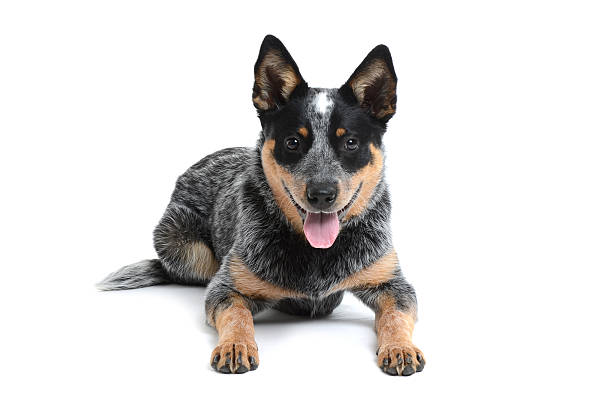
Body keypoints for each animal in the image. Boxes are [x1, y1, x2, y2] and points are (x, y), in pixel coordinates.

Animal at [99, 34, 426, 376]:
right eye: (293, 142)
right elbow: (236, 314)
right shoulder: (226, 288)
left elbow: (396, 314)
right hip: (186, 248)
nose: (321, 194)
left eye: (350, 142)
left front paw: (401, 347)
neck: (317, 253)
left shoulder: (391, 283)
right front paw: (235, 345)